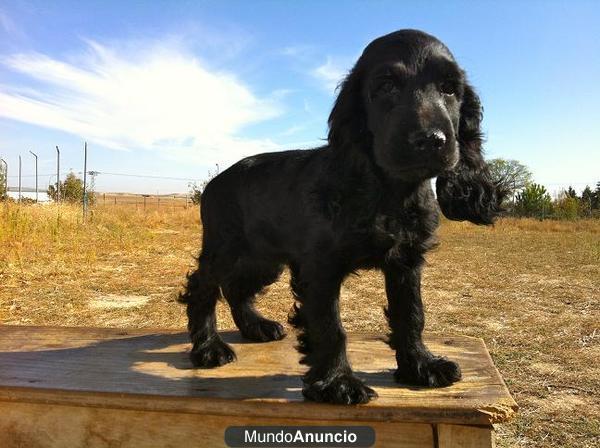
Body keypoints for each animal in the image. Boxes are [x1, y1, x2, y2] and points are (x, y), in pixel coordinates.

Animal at [180, 28, 504, 406]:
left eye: (450, 88)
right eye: (386, 86)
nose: (430, 140)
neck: (389, 192)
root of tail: (215, 181)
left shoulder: (406, 262)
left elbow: (411, 314)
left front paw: (421, 366)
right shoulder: (319, 268)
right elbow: (330, 327)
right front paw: (338, 383)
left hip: (263, 258)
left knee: (236, 288)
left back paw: (256, 327)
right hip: (226, 248)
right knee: (202, 288)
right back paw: (209, 348)